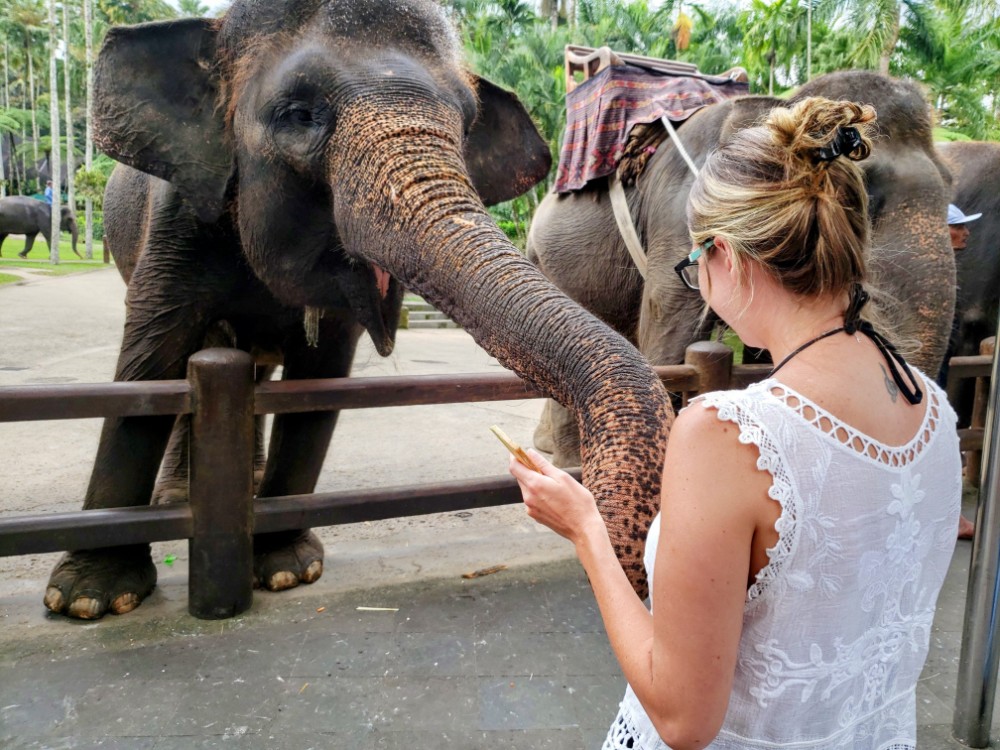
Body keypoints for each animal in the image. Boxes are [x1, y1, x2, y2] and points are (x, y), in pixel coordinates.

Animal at [43, 0, 673, 620]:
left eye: (467, 125)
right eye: (298, 115)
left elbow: (319, 382)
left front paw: (285, 568)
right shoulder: (177, 219)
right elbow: (150, 365)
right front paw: (91, 597)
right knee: (206, 360)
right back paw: (178, 497)